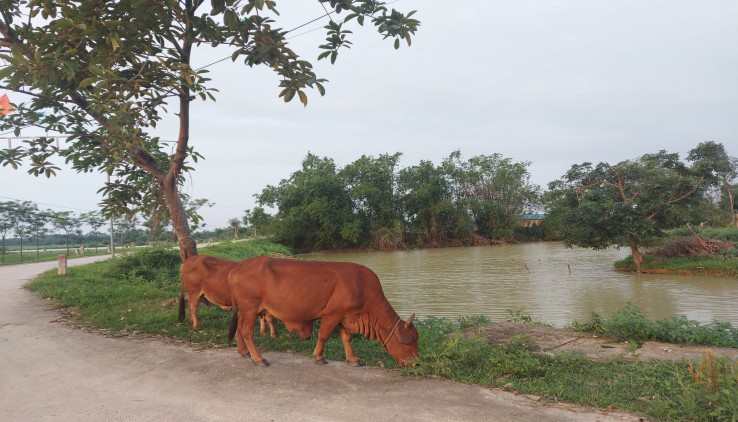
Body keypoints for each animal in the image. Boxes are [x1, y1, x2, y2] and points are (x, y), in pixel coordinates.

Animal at [227, 256, 416, 368]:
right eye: (410, 343)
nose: (416, 363)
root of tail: (239, 266)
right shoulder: (333, 314)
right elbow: (323, 335)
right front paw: (318, 357)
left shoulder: (345, 316)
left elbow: (346, 338)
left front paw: (353, 359)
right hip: (250, 308)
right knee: (246, 331)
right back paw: (258, 358)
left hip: (246, 310)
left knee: (240, 328)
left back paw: (244, 352)